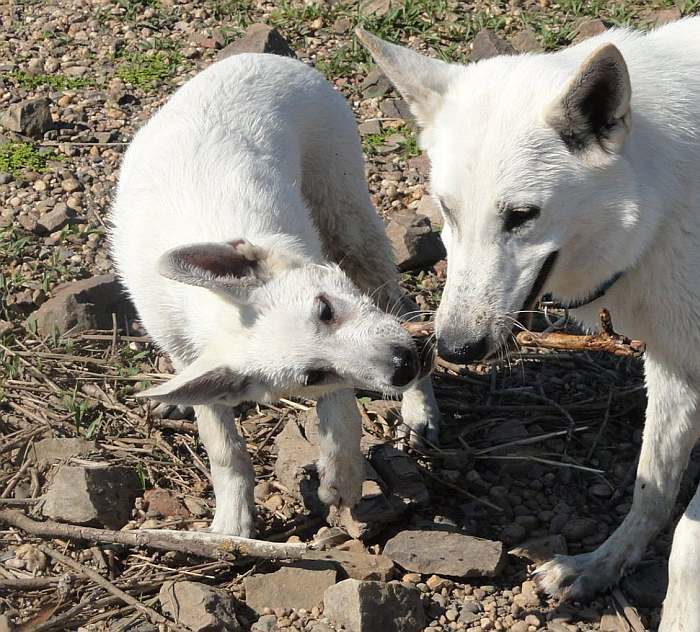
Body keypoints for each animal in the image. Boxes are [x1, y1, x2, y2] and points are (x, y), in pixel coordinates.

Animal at [110, 53, 440, 540]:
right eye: (312, 375)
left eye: (325, 309)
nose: (402, 367)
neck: (208, 308)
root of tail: (260, 56)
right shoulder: (189, 354)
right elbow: (223, 445)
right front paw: (231, 525)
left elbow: (342, 412)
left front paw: (343, 477)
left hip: (347, 217)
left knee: (401, 305)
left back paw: (420, 407)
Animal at [360, 17, 700, 628]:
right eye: (447, 210)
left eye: (521, 217)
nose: (454, 347)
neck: (669, 198)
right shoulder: (675, 365)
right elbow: (652, 489)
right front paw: (600, 565)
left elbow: (687, 542)